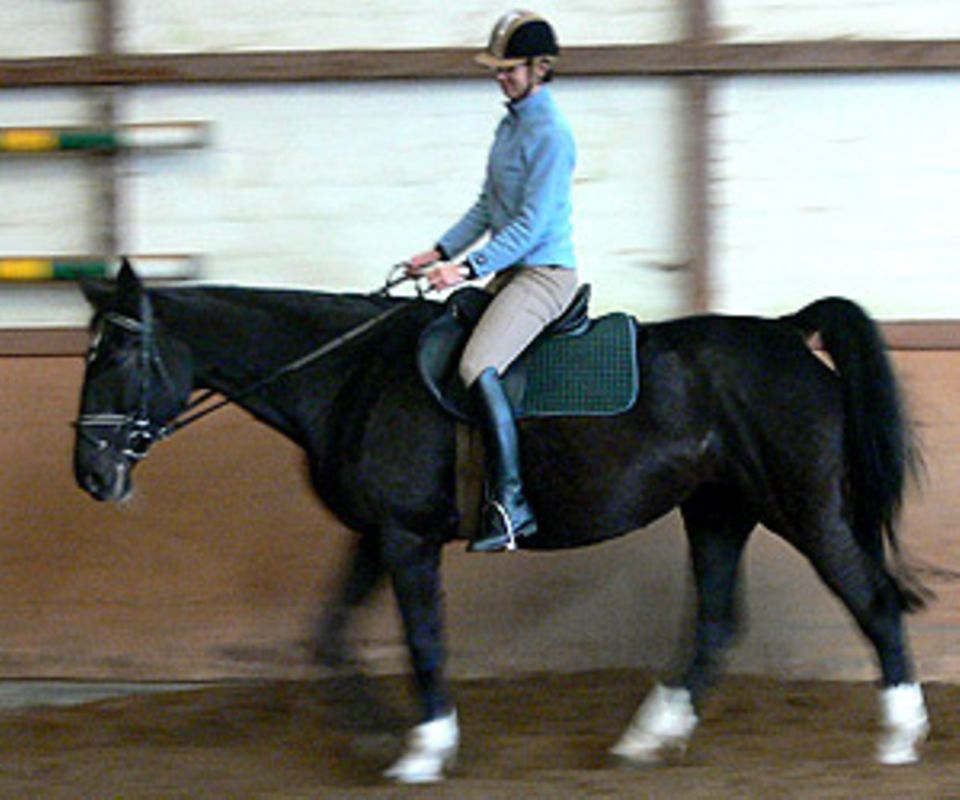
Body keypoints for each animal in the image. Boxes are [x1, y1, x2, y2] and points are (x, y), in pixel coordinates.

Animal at [71, 264, 928, 780]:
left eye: (117, 358)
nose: (91, 476)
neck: (348, 376)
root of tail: (784, 330)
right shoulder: (378, 532)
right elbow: (330, 634)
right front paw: (379, 734)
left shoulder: (406, 538)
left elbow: (422, 637)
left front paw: (424, 748)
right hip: (718, 510)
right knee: (717, 622)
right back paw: (646, 737)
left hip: (807, 511)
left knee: (874, 602)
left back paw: (899, 735)